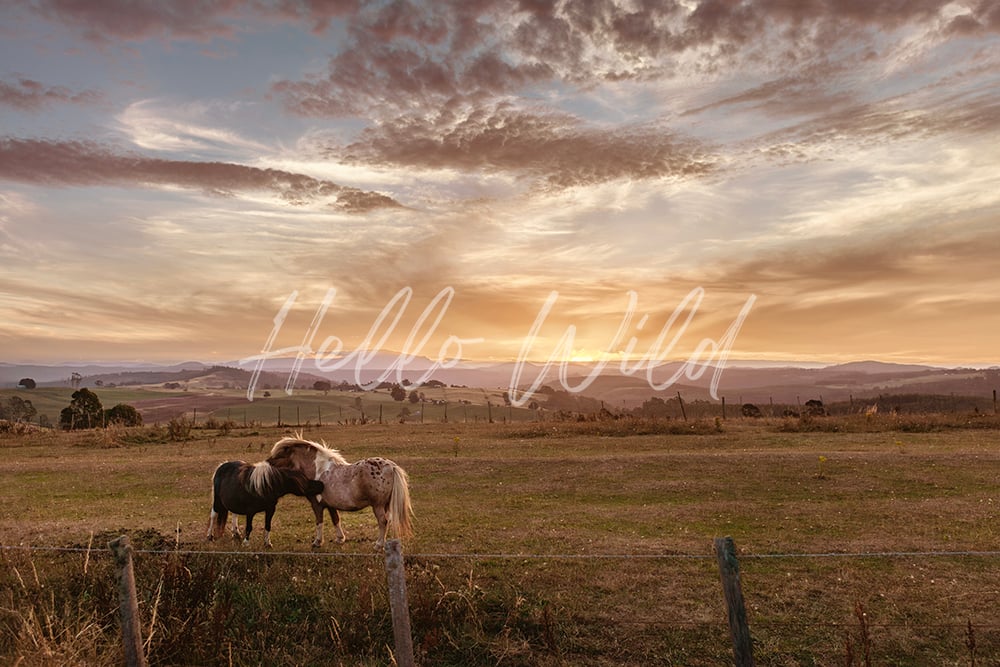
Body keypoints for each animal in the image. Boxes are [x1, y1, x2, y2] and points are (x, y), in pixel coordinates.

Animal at [266, 436, 413, 549]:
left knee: (383, 522)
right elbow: (336, 520)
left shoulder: (317, 504)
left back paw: (378, 545)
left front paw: (317, 542)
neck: (318, 470)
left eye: (279, 455)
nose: (267, 463)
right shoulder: (330, 505)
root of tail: (391, 466)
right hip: (386, 505)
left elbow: (319, 522)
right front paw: (340, 539)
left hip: (378, 506)